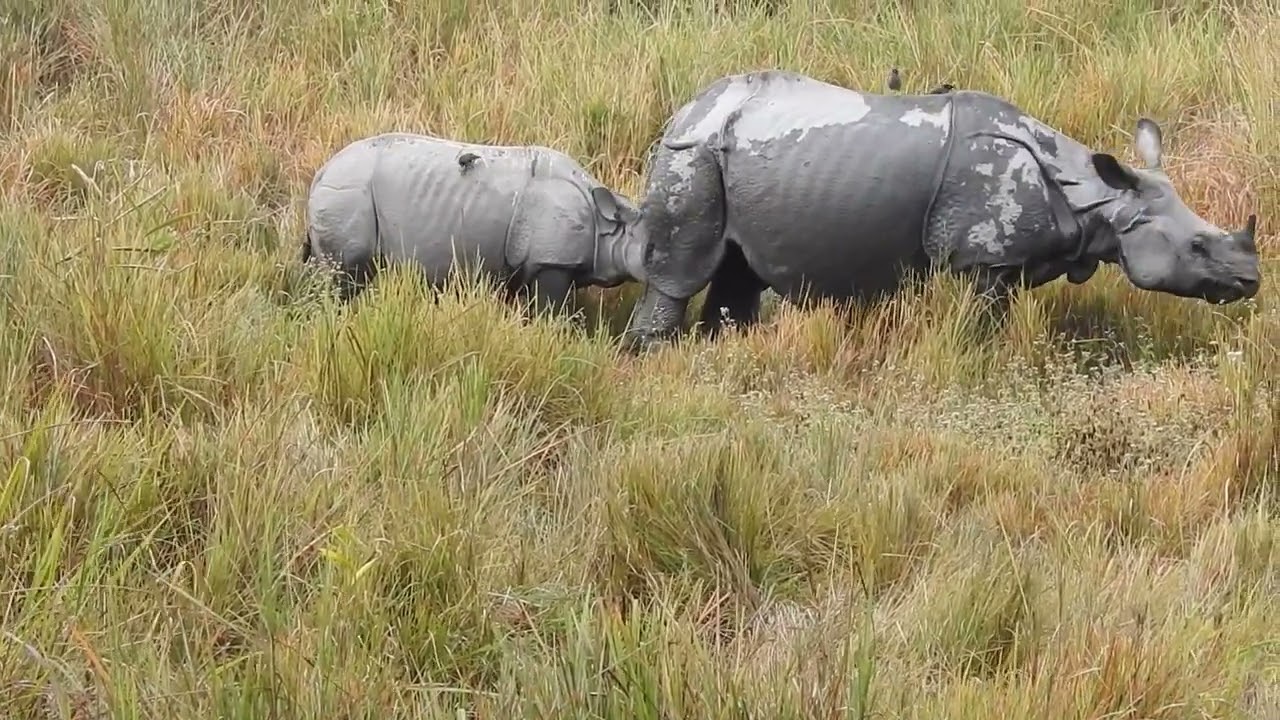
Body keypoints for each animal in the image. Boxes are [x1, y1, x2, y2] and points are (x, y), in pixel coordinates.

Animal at [301, 132, 647, 312]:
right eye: (649, 253)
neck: (606, 224)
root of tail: (320, 174)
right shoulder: (551, 262)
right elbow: (550, 311)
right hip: (346, 192)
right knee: (345, 275)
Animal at [622, 69, 1262, 349]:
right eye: (1197, 246)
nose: (1251, 281)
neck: (1099, 196)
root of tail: (688, 107)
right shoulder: (983, 262)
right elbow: (981, 326)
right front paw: (984, 362)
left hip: (741, 156)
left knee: (739, 267)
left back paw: (723, 349)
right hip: (692, 152)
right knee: (684, 266)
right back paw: (654, 357)